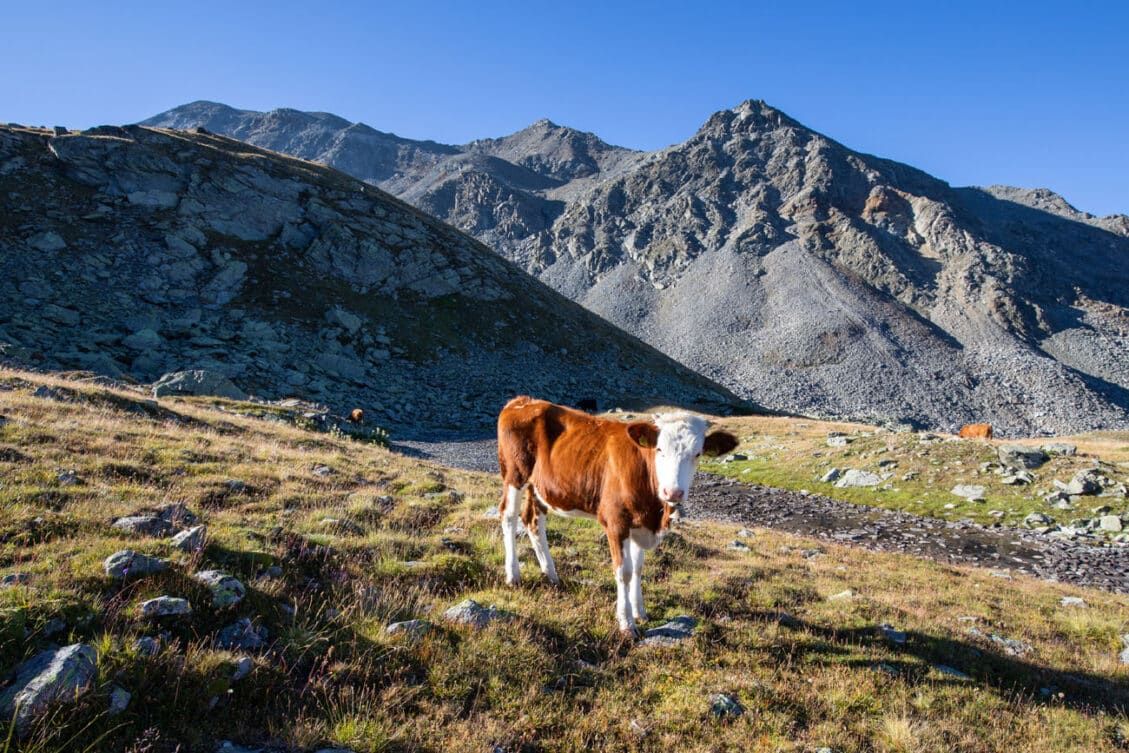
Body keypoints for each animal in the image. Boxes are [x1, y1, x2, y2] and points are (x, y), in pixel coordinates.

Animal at [496, 397, 740, 641]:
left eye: (697, 454)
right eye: (659, 449)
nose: (673, 492)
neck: (654, 509)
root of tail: (522, 401)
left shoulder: (640, 524)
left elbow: (638, 568)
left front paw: (640, 611)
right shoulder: (616, 522)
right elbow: (624, 572)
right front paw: (627, 623)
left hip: (540, 487)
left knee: (533, 520)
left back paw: (551, 574)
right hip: (515, 475)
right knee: (509, 516)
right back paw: (513, 575)